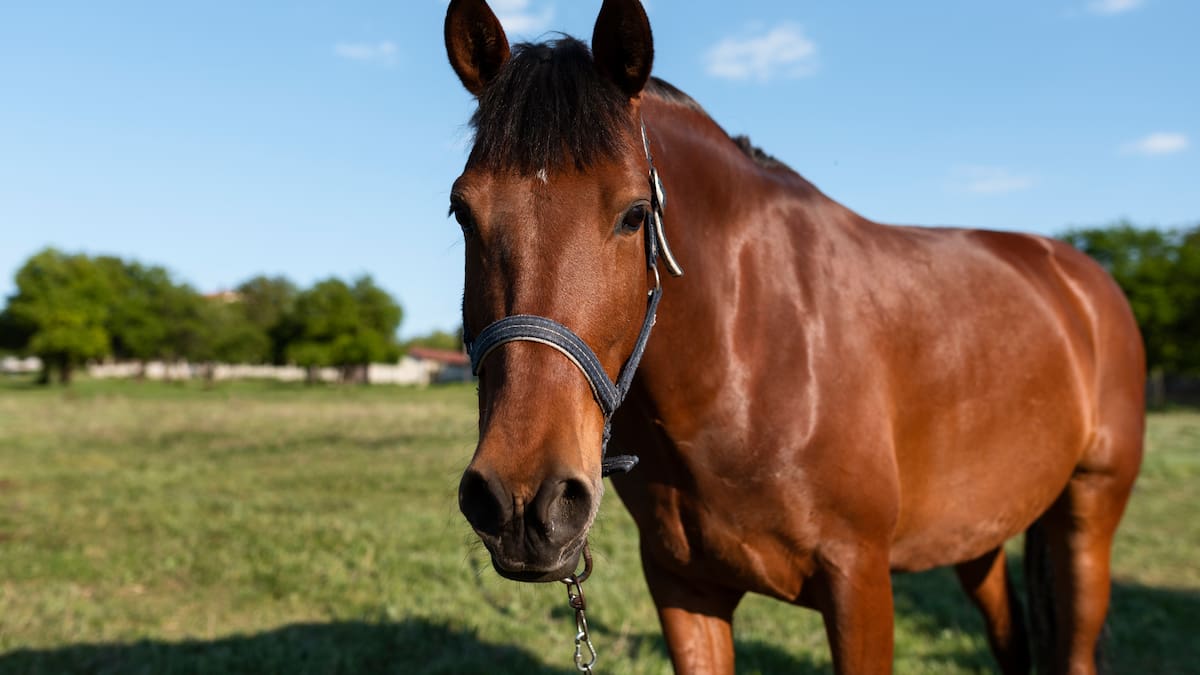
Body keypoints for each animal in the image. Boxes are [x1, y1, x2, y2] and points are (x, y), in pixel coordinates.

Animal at [442, 1, 1145, 672]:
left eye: (635, 214)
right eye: (462, 211)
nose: (525, 502)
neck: (749, 355)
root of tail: (1082, 278)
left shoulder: (860, 584)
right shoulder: (684, 589)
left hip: (1088, 517)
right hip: (980, 533)